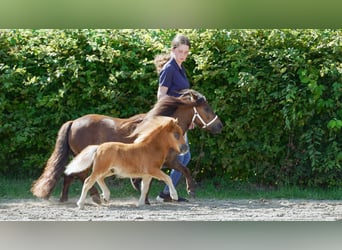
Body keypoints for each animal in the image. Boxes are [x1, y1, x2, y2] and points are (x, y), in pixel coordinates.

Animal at [30, 89, 223, 204]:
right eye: (207, 109)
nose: (220, 126)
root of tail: (73, 122)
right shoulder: (166, 161)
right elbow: (183, 170)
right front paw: (190, 191)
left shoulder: (165, 162)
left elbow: (176, 171)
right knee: (83, 176)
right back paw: (95, 197)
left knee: (70, 175)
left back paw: (66, 198)